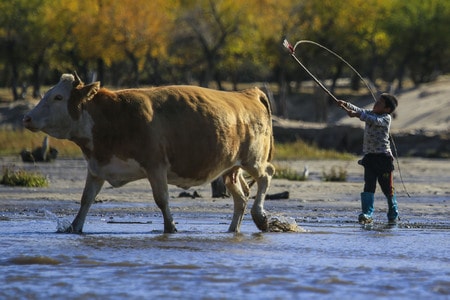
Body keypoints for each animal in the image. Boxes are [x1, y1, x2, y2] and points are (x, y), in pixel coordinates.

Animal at [23, 74, 274, 233]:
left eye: (58, 97)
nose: (27, 118)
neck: (113, 116)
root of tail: (247, 93)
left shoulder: (155, 166)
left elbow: (161, 199)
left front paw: (170, 228)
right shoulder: (97, 168)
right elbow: (86, 199)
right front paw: (74, 227)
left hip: (253, 159)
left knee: (266, 176)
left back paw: (260, 216)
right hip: (231, 167)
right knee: (241, 196)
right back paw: (233, 229)